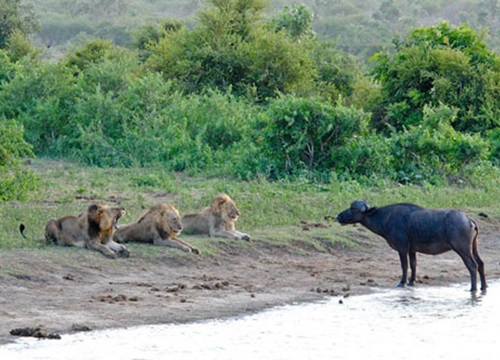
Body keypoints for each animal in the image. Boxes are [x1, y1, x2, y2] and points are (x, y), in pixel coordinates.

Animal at [334, 200, 486, 292]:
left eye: (353, 208)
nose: (338, 216)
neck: (386, 219)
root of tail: (468, 219)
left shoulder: (402, 248)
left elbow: (404, 265)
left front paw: (401, 282)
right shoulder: (412, 249)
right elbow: (413, 264)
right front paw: (411, 281)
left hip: (463, 249)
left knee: (472, 266)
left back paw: (473, 289)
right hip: (473, 247)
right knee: (481, 263)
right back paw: (483, 286)